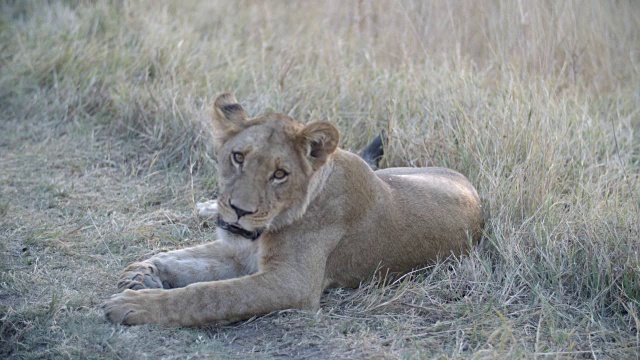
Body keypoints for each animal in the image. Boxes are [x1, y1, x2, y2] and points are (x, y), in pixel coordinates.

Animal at [102, 93, 482, 326]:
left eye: (280, 174)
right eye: (238, 157)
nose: (238, 210)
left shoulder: (291, 283)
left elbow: (210, 295)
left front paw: (133, 305)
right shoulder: (239, 251)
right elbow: (190, 258)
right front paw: (142, 271)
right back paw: (205, 208)